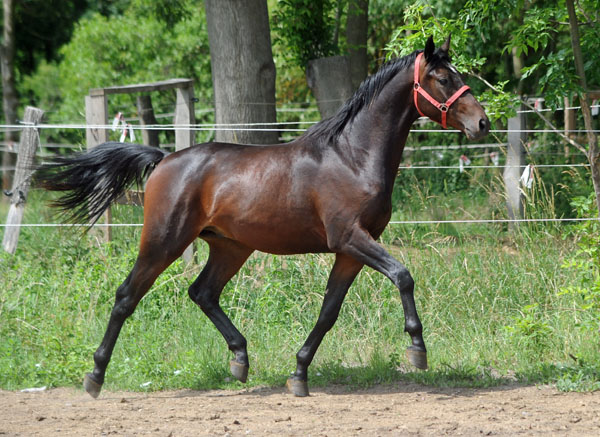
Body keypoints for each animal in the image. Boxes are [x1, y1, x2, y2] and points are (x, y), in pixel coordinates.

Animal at [36, 36, 488, 398]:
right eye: (443, 78)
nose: (481, 123)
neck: (352, 157)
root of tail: (164, 160)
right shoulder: (350, 238)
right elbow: (403, 275)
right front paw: (417, 350)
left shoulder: (350, 252)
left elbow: (328, 312)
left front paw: (299, 374)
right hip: (164, 241)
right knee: (126, 297)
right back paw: (95, 377)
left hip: (231, 247)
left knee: (202, 293)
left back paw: (240, 359)